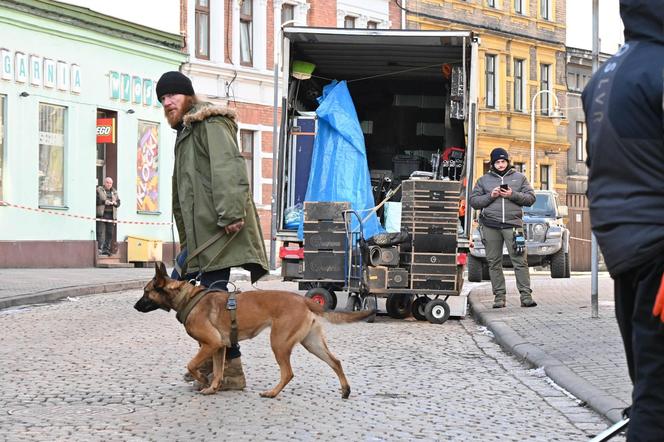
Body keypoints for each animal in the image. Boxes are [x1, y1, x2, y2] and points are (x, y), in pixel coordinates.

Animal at [135, 260, 374, 398]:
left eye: (146, 292)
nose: (135, 307)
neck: (188, 297)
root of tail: (303, 300)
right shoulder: (219, 347)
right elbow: (218, 371)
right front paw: (213, 387)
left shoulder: (211, 344)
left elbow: (192, 364)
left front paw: (202, 380)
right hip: (312, 343)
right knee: (336, 362)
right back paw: (345, 390)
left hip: (279, 343)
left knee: (288, 372)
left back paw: (272, 393)